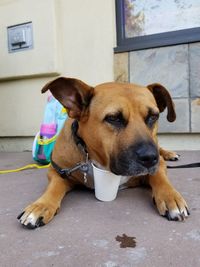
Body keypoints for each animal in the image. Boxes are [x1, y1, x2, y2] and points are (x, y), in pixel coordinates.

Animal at [17, 77, 189, 228]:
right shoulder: (57, 171)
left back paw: (169, 153)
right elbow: (54, 187)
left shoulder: (158, 166)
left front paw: (170, 197)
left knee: (160, 148)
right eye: (113, 118)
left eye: (153, 116)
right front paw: (41, 205)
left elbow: (160, 178)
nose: (150, 158)